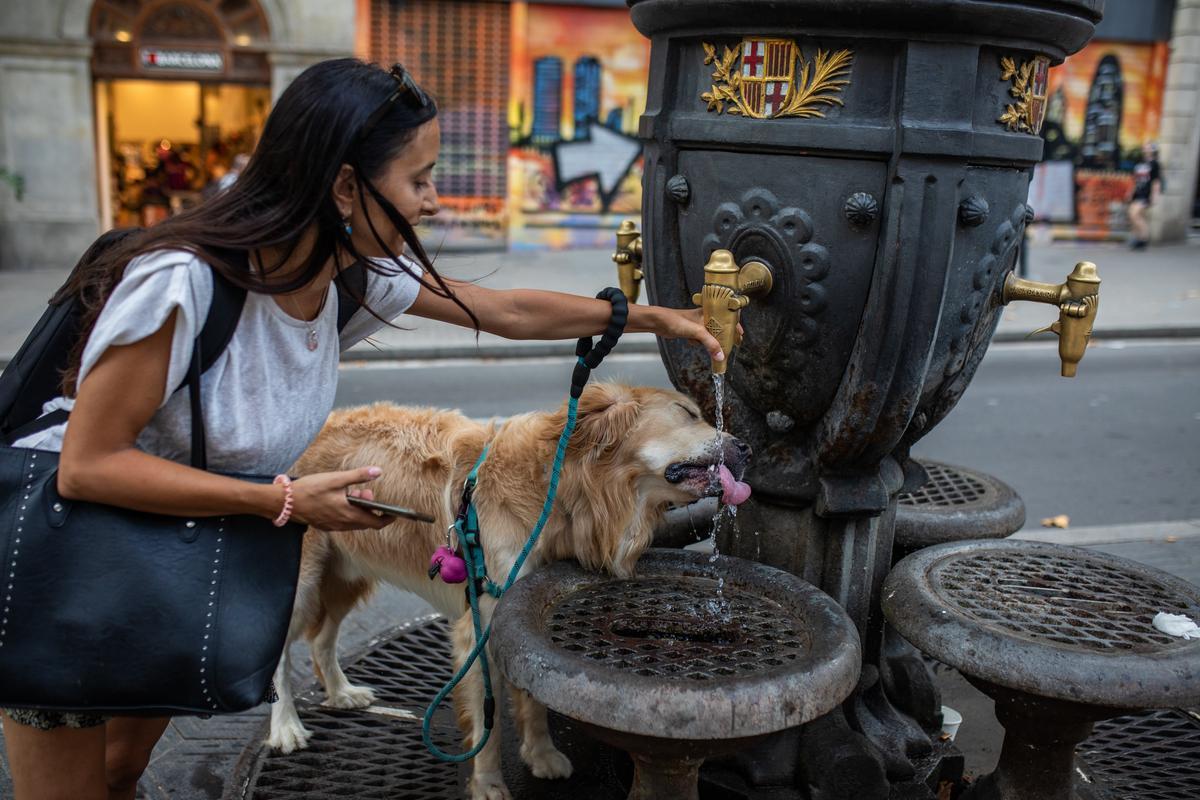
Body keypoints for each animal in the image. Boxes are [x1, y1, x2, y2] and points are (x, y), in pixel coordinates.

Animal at [266, 383, 748, 796]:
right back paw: (286, 727)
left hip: (348, 573)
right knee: (281, 656)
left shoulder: (523, 610)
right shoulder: (479, 628)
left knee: (321, 640)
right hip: (304, 584)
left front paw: (541, 755)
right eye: (687, 413)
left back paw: (340, 692)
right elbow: (489, 722)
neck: (557, 489)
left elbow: (533, 697)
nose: (745, 447)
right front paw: (487, 784)